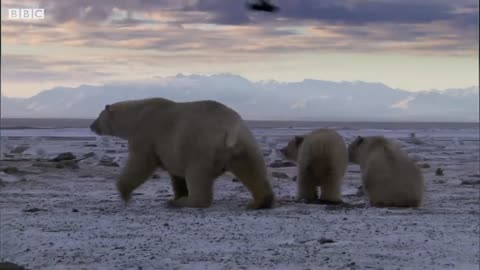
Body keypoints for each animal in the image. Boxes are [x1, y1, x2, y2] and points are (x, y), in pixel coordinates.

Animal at [90, 98, 276, 210]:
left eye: (98, 116)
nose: (91, 126)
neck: (137, 114)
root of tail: (230, 127)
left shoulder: (146, 134)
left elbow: (141, 163)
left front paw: (124, 193)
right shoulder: (172, 150)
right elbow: (177, 175)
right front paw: (177, 195)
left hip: (200, 146)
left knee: (197, 175)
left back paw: (185, 202)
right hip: (245, 144)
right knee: (252, 170)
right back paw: (260, 202)